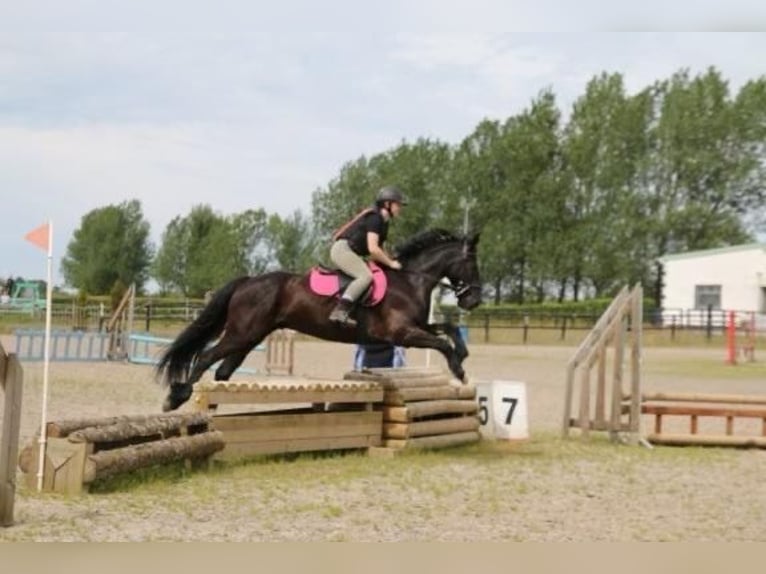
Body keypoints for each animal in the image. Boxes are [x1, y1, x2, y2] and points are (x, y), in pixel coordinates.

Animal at [157, 227, 484, 412]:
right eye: (472, 263)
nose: (474, 301)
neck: (410, 281)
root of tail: (248, 281)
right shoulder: (401, 333)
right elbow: (442, 343)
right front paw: (459, 371)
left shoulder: (414, 328)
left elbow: (449, 329)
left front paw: (463, 356)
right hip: (241, 333)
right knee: (205, 357)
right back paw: (176, 397)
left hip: (251, 336)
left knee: (223, 370)